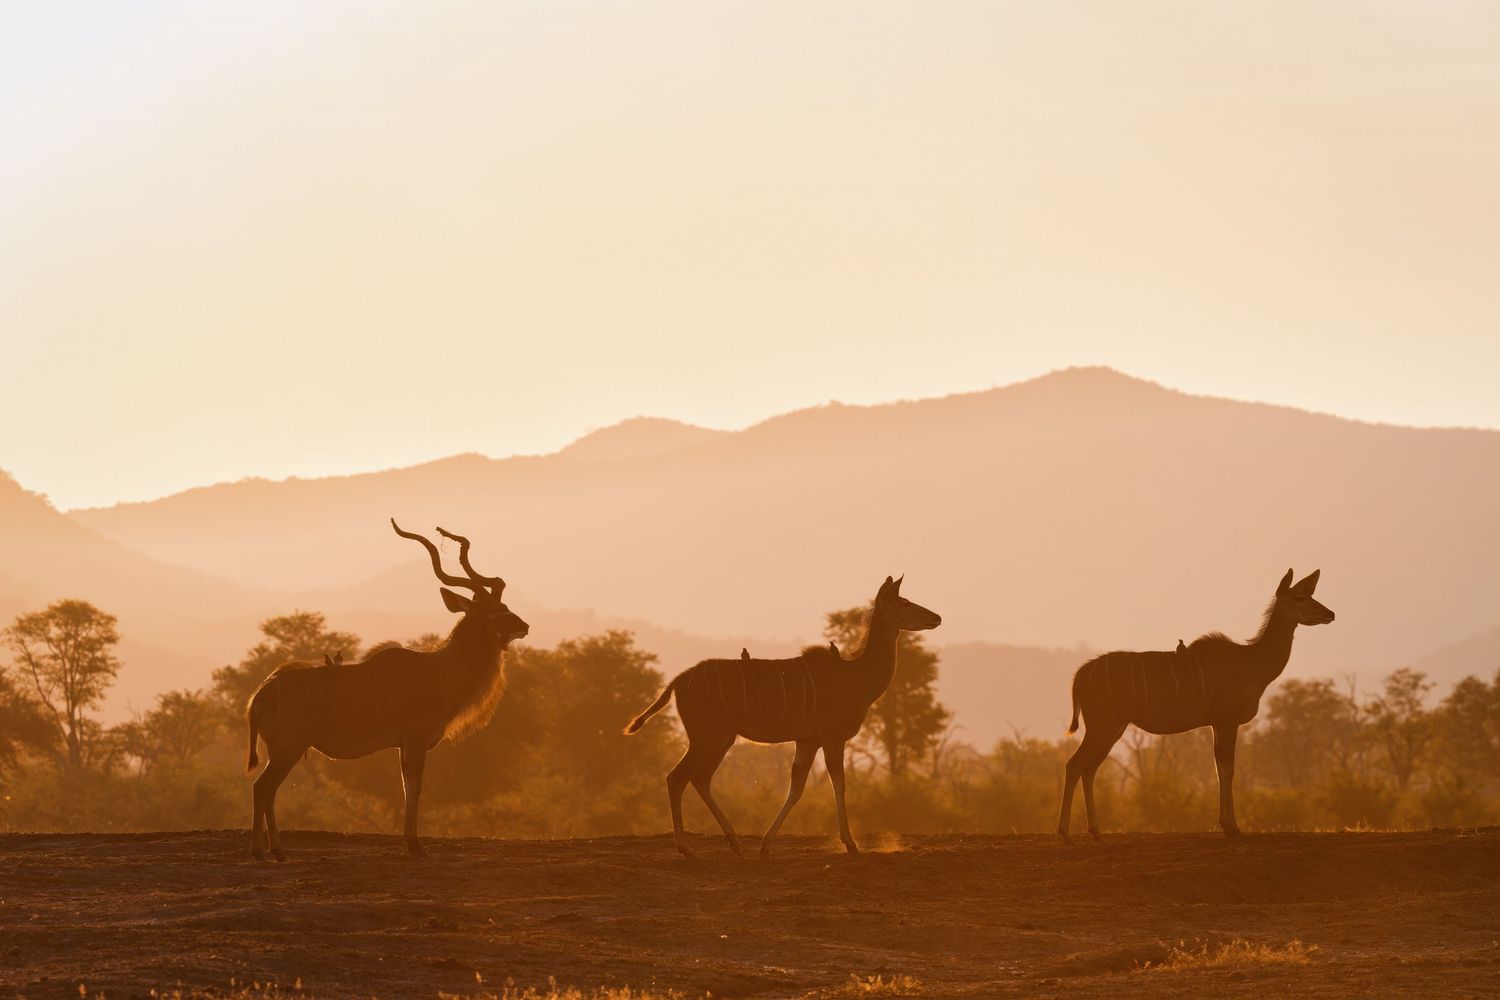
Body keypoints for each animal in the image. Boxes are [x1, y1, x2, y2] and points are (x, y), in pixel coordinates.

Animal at [244, 520, 528, 860]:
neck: (438, 671)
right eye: (491, 611)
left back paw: (275, 851)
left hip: (282, 751)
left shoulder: (403, 746)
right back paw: (264, 851)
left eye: (504, 605)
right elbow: (414, 788)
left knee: (266, 790)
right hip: (288, 748)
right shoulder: (415, 742)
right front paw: (415, 846)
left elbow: (408, 788)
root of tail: (258, 696)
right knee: (262, 788)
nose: (524, 626)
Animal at [624, 576, 941, 858]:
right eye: (904, 602)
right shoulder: (832, 738)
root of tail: (678, 680)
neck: (855, 676)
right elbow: (838, 784)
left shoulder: (808, 741)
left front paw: (765, 846)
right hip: (707, 737)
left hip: (722, 739)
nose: (936, 617)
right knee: (676, 777)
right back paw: (687, 848)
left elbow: (796, 788)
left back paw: (735, 844)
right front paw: (851, 844)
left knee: (700, 778)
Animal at [1058, 568, 1334, 841]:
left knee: (1089, 770)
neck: (1252, 663)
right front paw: (1232, 827)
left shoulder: (1216, 724)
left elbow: (1218, 768)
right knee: (1074, 765)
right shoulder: (1227, 721)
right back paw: (1063, 832)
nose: (1329, 614)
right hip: (1102, 727)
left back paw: (1096, 830)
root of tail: (1080, 675)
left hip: (1113, 729)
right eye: (1300, 597)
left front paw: (1226, 824)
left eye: (1310, 593)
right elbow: (1227, 769)